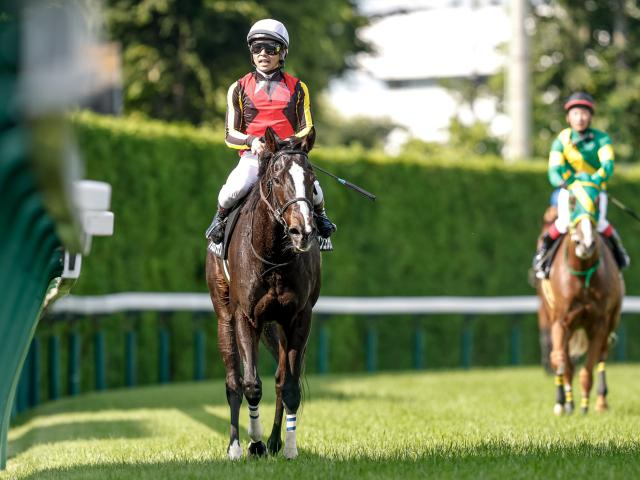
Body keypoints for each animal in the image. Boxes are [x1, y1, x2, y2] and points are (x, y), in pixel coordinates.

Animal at [206, 126, 321, 459]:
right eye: (277, 179)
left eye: (311, 179)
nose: (303, 231)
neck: (274, 257)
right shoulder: (246, 317)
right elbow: (251, 384)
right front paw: (253, 443)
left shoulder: (298, 318)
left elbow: (290, 385)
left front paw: (287, 447)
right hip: (224, 316)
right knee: (233, 381)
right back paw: (235, 446)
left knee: (282, 380)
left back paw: (274, 441)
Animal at [538, 176, 624, 415]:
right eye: (572, 201)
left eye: (596, 201)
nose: (585, 243)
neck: (582, 271)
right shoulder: (560, 320)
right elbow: (561, 360)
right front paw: (564, 402)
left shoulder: (599, 323)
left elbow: (587, 368)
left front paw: (585, 405)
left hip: (613, 318)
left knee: (602, 354)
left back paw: (601, 401)